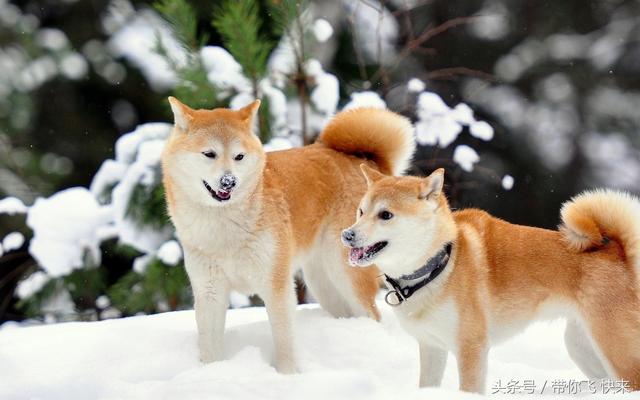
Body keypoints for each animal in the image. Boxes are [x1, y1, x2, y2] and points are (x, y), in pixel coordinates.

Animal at [160, 98, 416, 374]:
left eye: (239, 156)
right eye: (209, 154)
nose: (229, 182)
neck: (224, 227)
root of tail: (364, 162)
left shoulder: (276, 285)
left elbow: (284, 341)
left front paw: (287, 376)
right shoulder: (210, 291)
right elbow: (210, 347)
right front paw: (212, 373)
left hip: (346, 276)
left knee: (372, 315)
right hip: (323, 284)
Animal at [344, 163, 640, 394]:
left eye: (386, 215)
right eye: (361, 211)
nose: (347, 235)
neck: (439, 265)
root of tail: (619, 253)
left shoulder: (471, 347)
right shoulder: (432, 347)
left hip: (617, 351)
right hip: (583, 347)